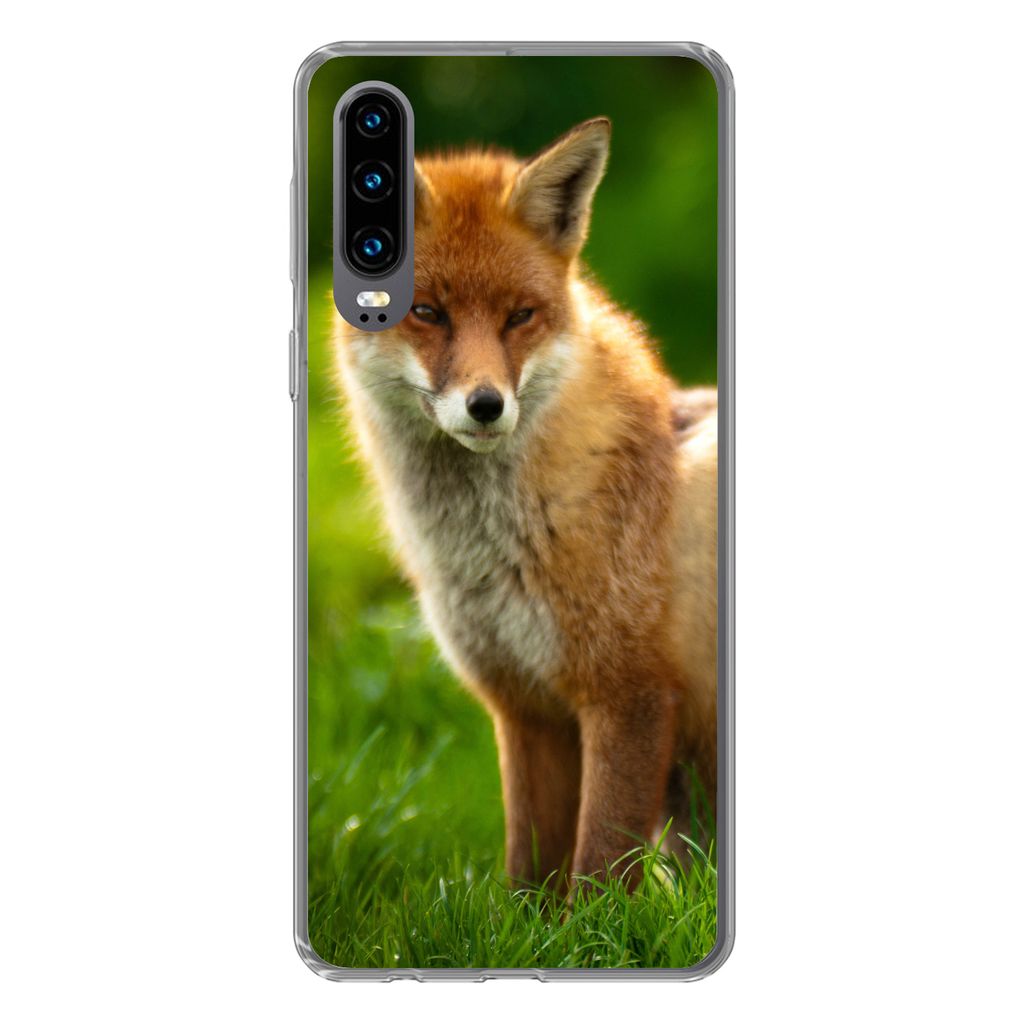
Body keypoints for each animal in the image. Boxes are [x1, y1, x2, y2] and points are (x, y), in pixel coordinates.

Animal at [331, 117, 717, 890]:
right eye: (426, 312)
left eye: (519, 317)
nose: (486, 405)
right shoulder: (523, 707)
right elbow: (527, 877)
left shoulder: (629, 695)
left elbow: (599, 869)